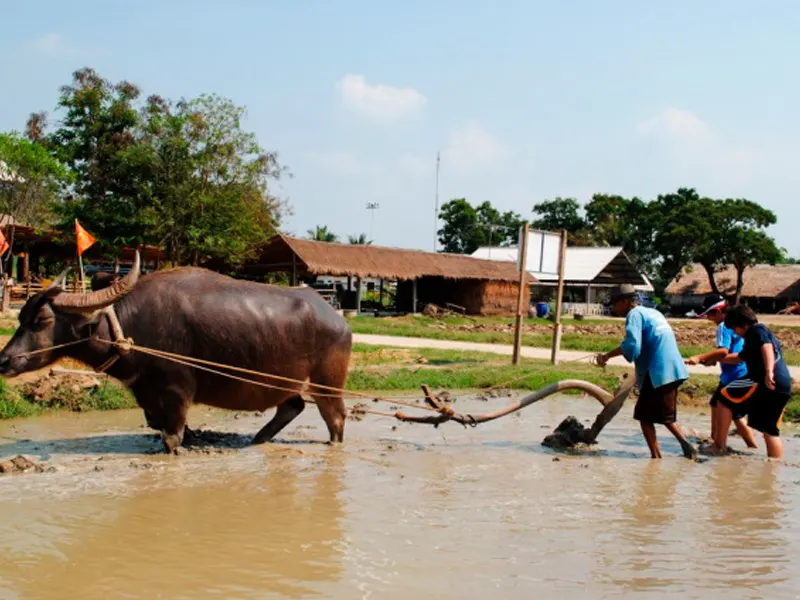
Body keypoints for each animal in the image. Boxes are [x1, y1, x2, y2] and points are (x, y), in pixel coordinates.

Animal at [0, 252, 353, 453]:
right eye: (21, 317)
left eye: (42, 320)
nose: (4, 360)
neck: (130, 328)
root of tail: (338, 320)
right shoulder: (148, 394)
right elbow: (157, 425)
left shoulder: (176, 392)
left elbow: (171, 438)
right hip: (285, 382)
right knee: (292, 406)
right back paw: (258, 439)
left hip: (327, 385)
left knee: (335, 417)